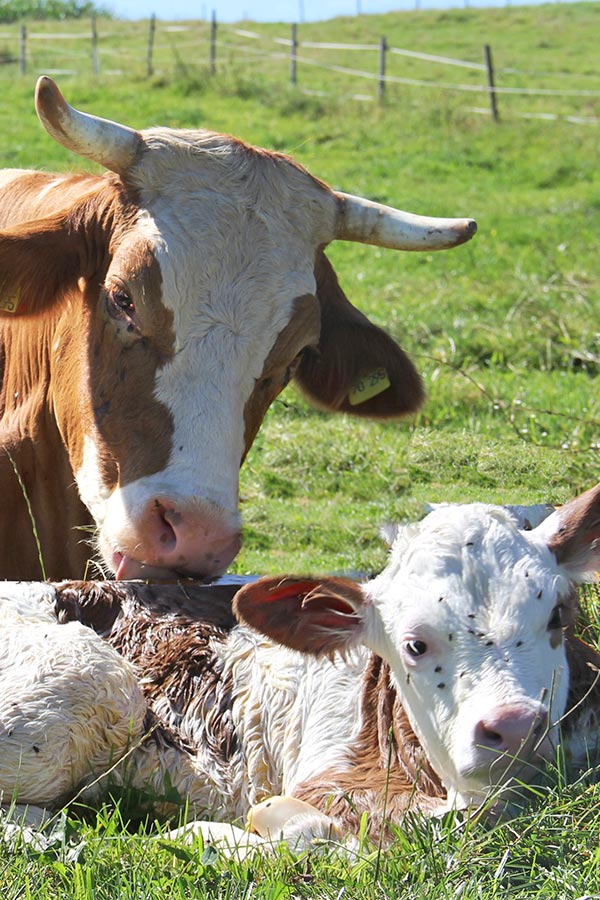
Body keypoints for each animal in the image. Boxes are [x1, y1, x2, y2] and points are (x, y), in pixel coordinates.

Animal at [1, 486, 600, 852]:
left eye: (558, 615)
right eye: (414, 644)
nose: (516, 728)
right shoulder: (327, 779)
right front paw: (208, 836)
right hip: (92, 679)